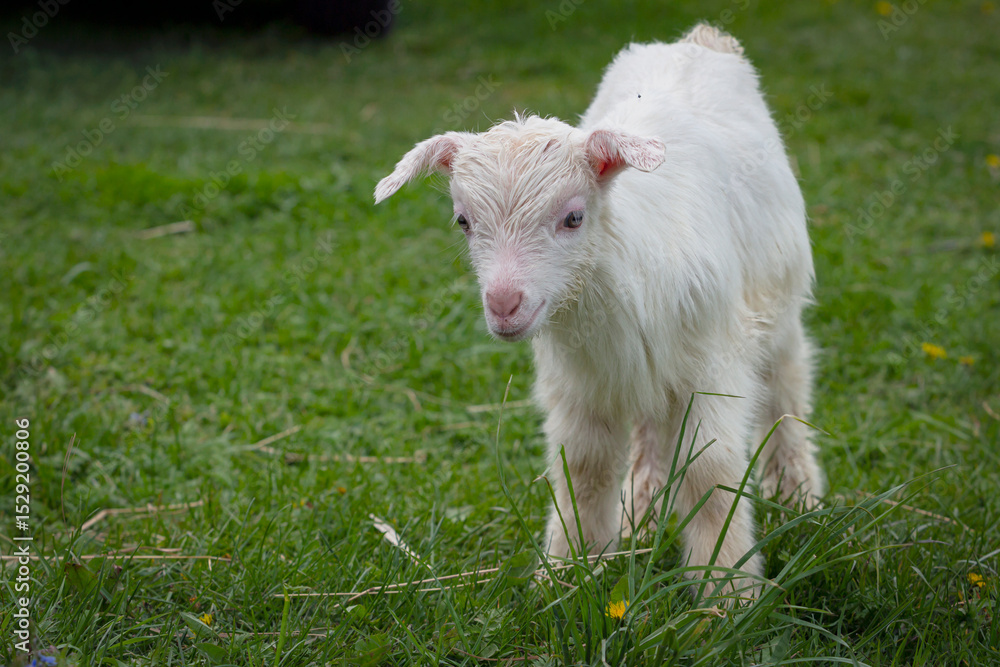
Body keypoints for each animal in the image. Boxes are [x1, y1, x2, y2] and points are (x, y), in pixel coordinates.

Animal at [375, 23, 824, 602]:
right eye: (463, 221)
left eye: (573, 217)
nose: (504, 304)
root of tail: (702, 38)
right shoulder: (582, 381)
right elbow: (584, 470)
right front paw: (568, 572)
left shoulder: (713, 364)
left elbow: (709, 470)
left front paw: (725, 593)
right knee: (652, 430)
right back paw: (643, 517)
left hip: (778, 296)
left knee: (787, 382)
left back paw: (798, 495)